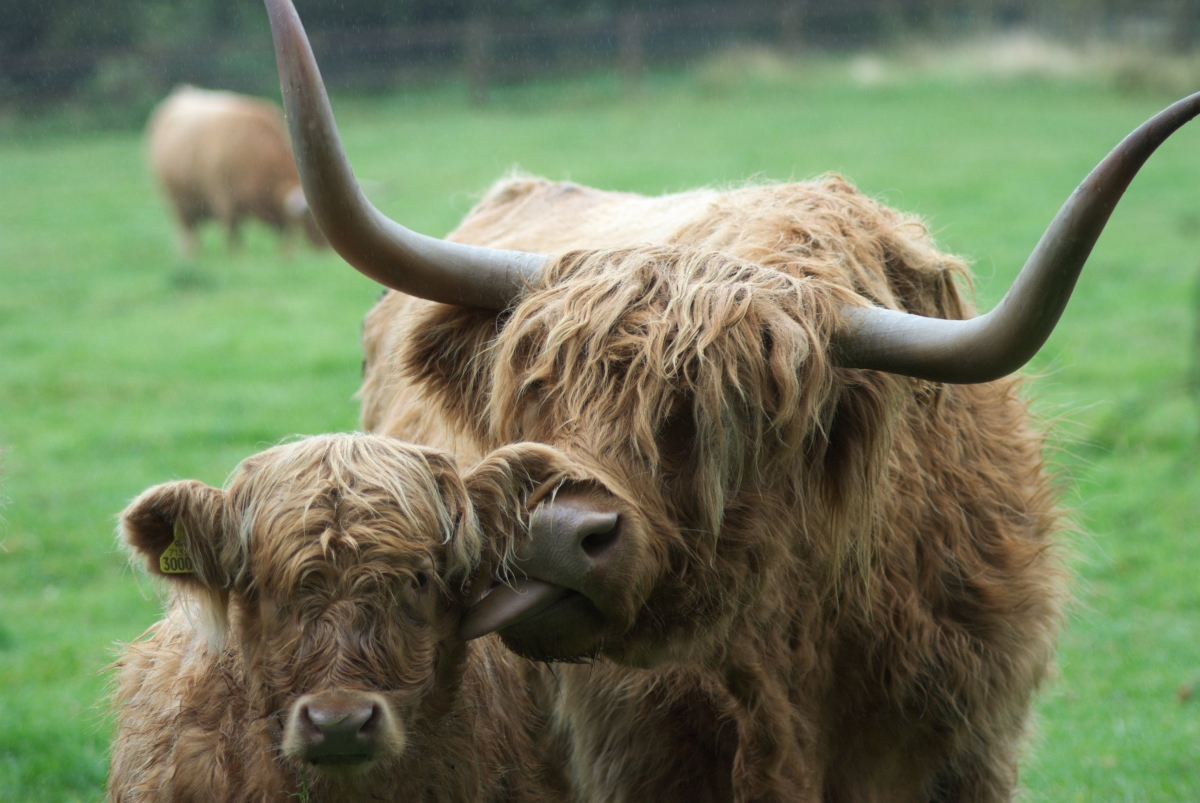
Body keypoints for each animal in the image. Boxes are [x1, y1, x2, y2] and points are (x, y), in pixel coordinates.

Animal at [146, 86, 328, 252]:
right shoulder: (225, 203)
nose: (324, 248)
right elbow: (234, 240)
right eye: (311, 218)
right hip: (179, 204)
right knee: (189, 233)